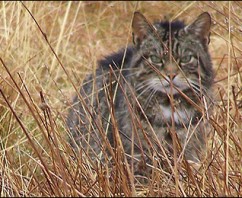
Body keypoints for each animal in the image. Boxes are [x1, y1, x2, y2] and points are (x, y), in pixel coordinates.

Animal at [67, 10, 215, 172]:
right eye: (155, 58)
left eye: (186, 58)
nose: (170, 74)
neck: (170, 108)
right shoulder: (137, 157)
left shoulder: (191, 154)